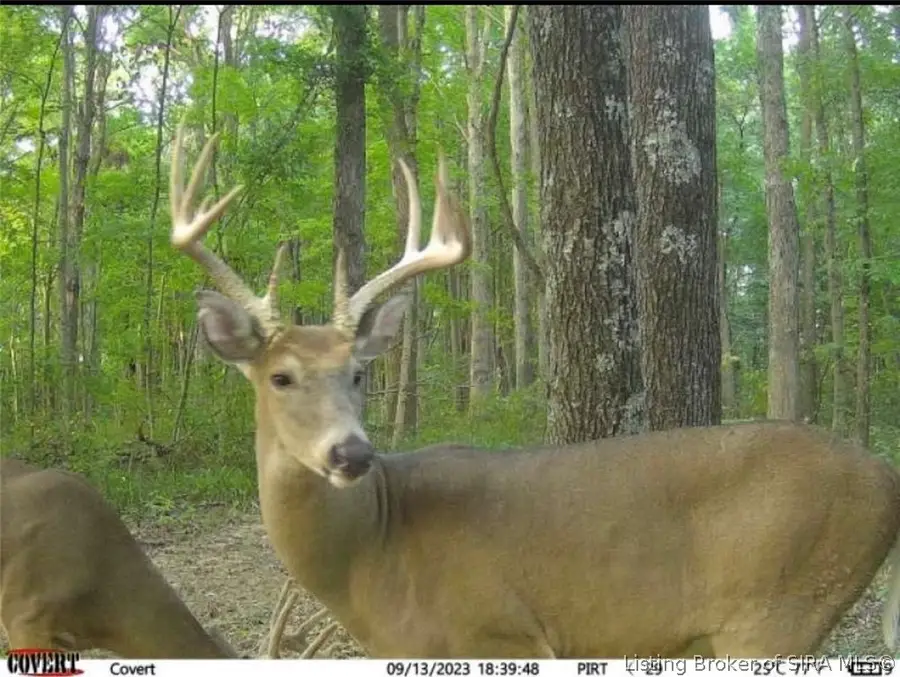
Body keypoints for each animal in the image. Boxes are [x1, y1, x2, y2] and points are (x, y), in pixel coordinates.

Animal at [169, 123, 900, 658]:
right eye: (281, 376)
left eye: (358, 372)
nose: (351, 453)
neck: (372, 553)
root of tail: (885, 475)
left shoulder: (499, 630)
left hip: (778, 607)